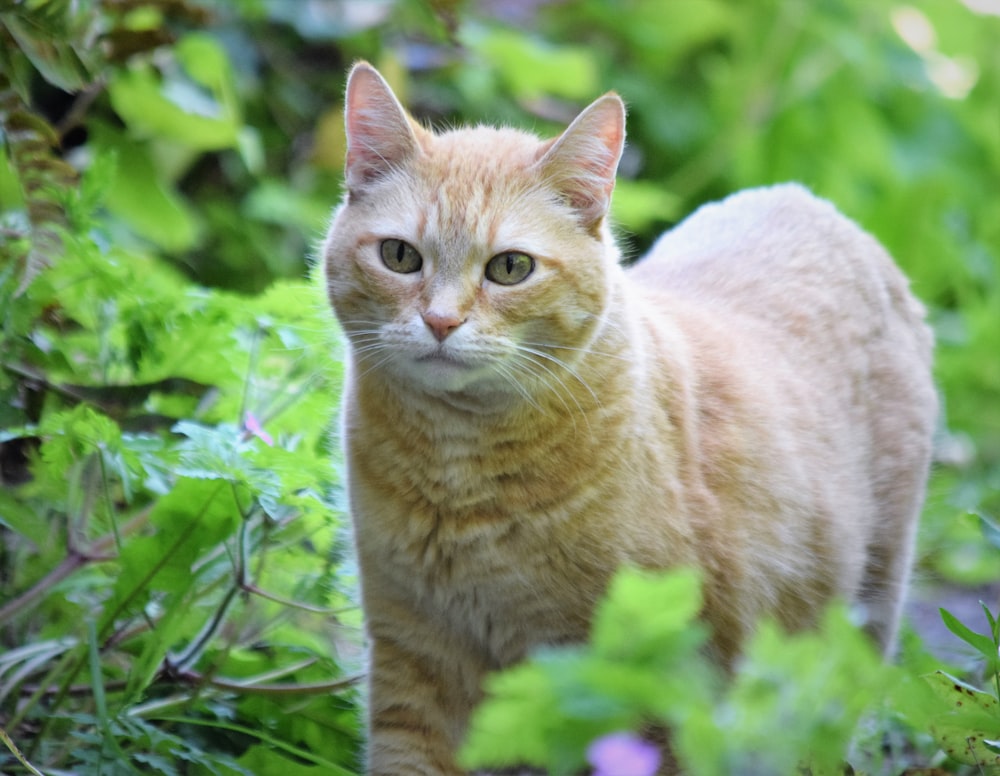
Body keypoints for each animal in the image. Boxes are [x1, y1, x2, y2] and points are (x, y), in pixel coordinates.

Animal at [320, 62, 936, 776]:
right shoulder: (413, 658)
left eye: (510, 267)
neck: (459, 465)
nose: (441, 321)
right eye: (399, 257)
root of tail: (811, 202)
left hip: (856, 623)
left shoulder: (648, 682)